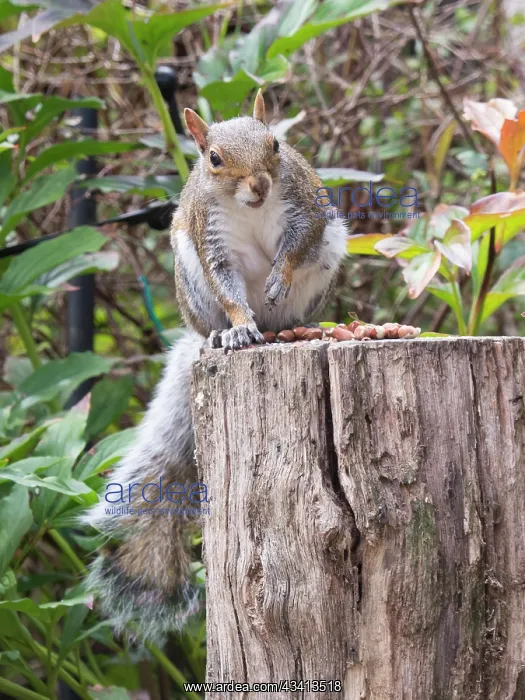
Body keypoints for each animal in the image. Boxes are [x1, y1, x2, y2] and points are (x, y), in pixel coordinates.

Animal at [82, 90, 347, 642]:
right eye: (214, 159)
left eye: (275, 144)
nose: (260, 184)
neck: (250, 207)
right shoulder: (210, 238)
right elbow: (227, 284)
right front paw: (239, 323)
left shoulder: (305, 205)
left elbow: (298, 242)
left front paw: (278, 276)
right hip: (189, 277)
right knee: (219, 317)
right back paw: (230, 335)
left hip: (325, 261)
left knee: (294, 301)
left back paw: (296, 322)